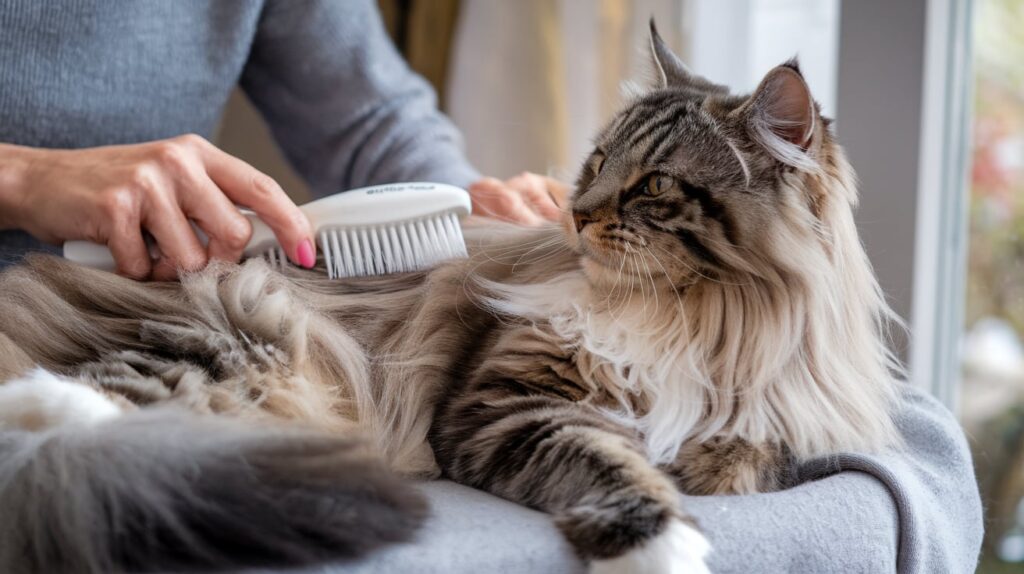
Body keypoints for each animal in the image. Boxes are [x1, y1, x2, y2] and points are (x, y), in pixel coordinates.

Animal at [0, 22, 897, 572]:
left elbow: (743, 459)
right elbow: (612, 464)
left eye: (651, 186)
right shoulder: (510, 402)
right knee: (62, 415)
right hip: (240, 340)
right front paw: (666, 543)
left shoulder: (772, 414)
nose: (575, 211)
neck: (695, 316)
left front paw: (700, 468)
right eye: (597, 160)